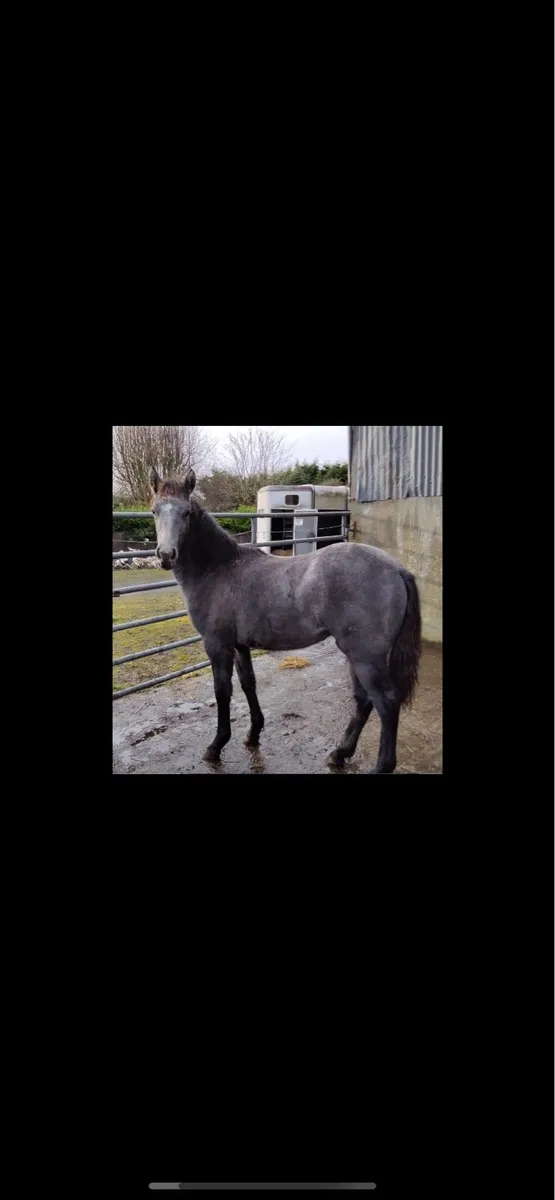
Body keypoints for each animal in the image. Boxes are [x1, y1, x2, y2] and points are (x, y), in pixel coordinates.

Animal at [148, 467, 421, 773]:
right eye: (154, 511)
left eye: (185, 513)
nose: (166, 555)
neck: (219, 568)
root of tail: (397, 569)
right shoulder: (240, 646)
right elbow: (248, 684)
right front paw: (253, 733)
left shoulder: (217, 645)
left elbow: (222, 691)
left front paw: (216, 746)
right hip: (359, 656)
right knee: (364, 701)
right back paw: (339, 753)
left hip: (366, 657)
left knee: (385, 702)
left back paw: (379, 764)